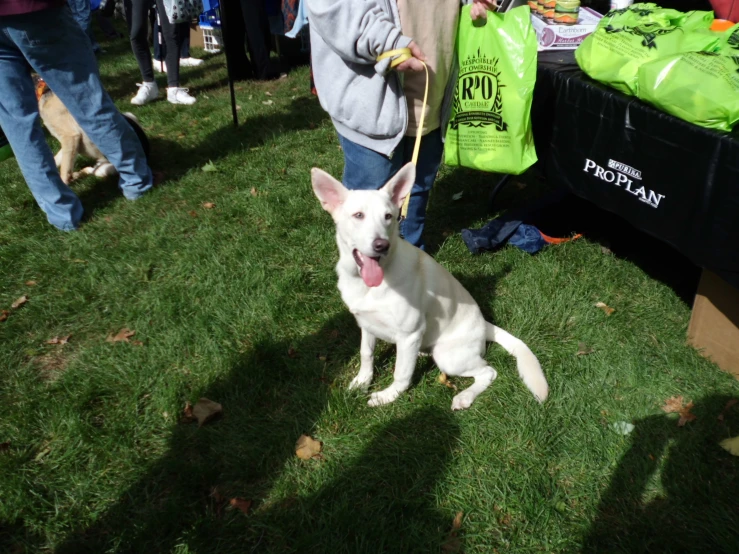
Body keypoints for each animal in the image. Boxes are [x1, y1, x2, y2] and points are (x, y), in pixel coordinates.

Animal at [312, 162, 548, 408]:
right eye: (358, 215)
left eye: (388, 216)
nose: (381, 246)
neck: (370, 284)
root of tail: (485, 325)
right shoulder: (367, 325)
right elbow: (366, 355)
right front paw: (361, 382)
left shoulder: (409, 334)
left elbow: (401, 373)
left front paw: (388, 396)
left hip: (448, 358)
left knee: (488, 371)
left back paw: (464, 397)